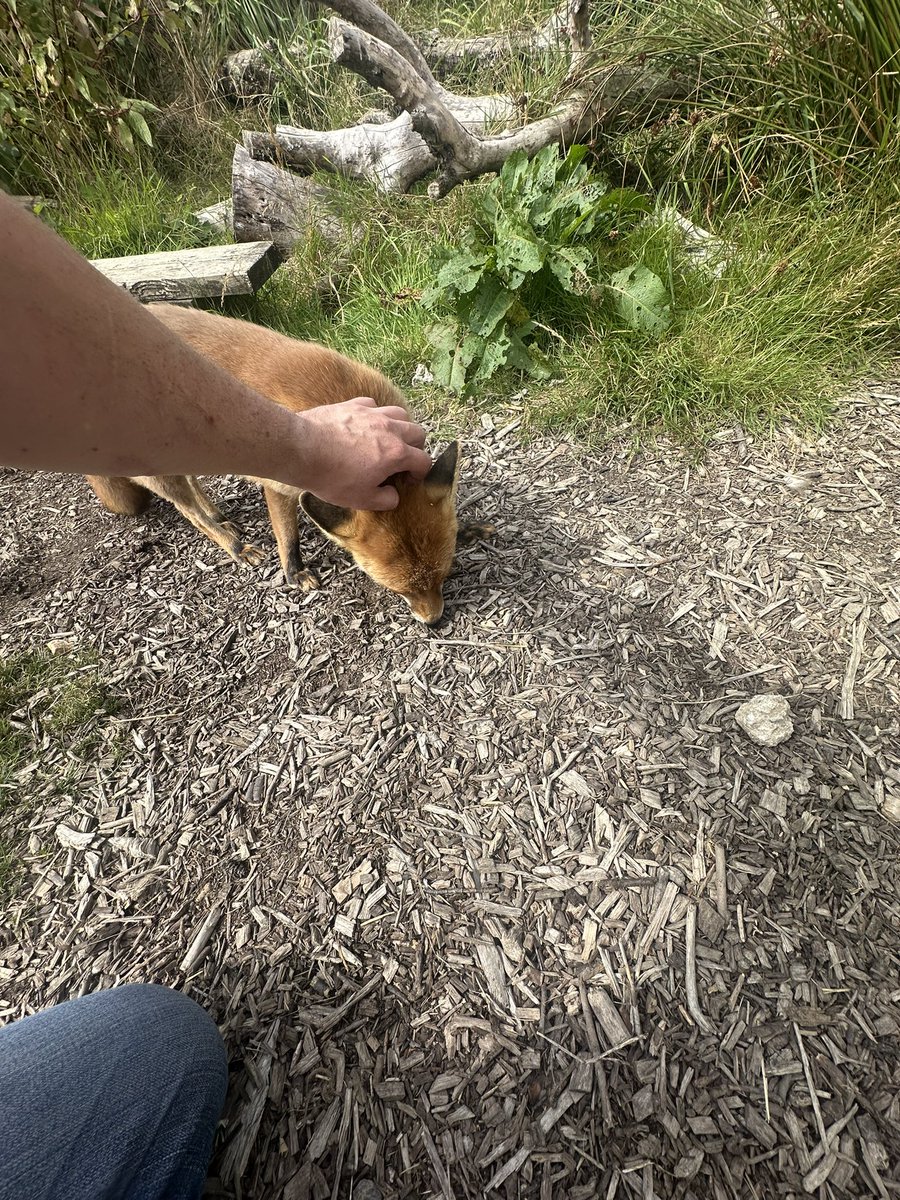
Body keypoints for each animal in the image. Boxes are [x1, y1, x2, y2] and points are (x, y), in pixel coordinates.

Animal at [84, 304, 491, 625]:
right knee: (191, 514)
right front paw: (295, 573)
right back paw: (234, 544)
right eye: (397, 590)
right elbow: (287, 534)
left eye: (443, 577)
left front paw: (467, 527)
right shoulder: (280, 483)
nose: (434, 621)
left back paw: (221, 517)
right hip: (163, 473)